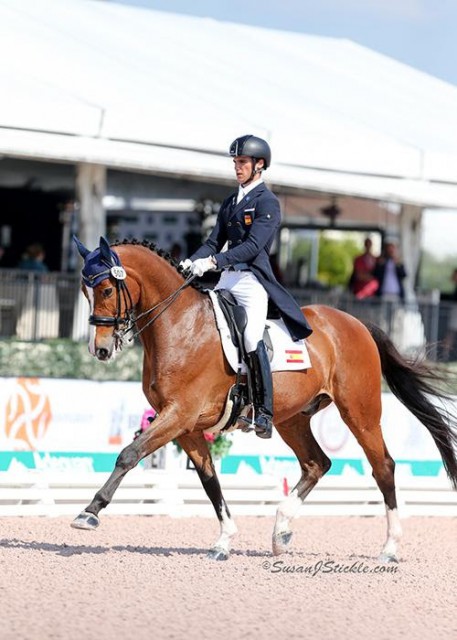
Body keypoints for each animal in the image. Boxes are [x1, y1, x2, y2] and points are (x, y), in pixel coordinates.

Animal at [71, 238, 456, 564]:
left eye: (107, 289)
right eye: (85, 292)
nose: (99, 350)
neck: (180, 325)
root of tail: (356, 323)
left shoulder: (179, 414)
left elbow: (129, 454)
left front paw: (89, 512)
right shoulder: (187, 426)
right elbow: (209, 480)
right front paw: (224, 541)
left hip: (360, 412)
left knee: (383, 467)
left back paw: (389, 549)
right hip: (292, 419)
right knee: (317, 463)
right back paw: (281, 532)